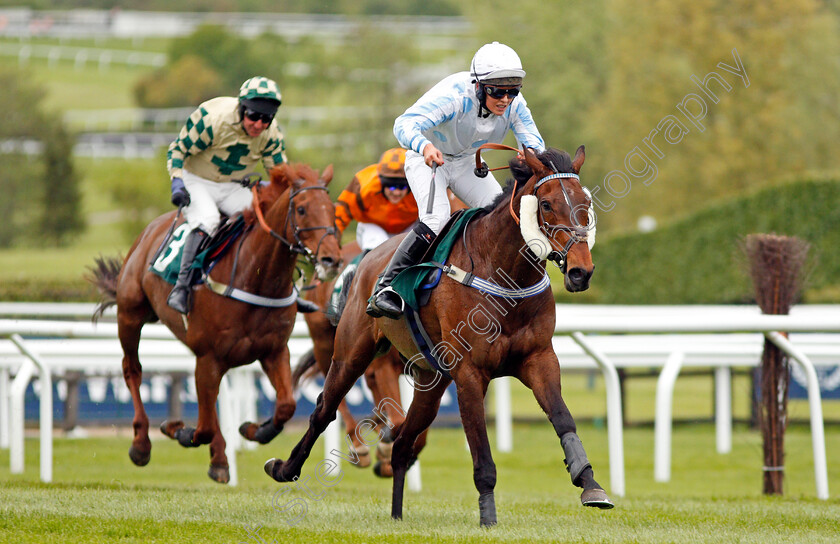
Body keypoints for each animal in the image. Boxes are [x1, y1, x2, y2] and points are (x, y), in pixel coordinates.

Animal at [88, 163, 342, 484]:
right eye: (302, 209)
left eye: (332, 209)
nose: (332, 258)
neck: (255, 276)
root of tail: (151, 228)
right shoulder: (209, 356)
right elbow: (204, 427)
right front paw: (178, 430)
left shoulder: (273, 351)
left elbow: (286, 405)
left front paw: (254, 430)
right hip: (130, 315)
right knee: (132, 369)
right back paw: (141, 444)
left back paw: (220, 460)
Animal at [266, 147, 612, 524]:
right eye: (546, 204)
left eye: (585, 202)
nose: (581, 271)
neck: (504, 274)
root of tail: (366, 262)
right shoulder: (470, 372)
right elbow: (480, 447)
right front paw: (488, 518)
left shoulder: (539, 358)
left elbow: (563, 418)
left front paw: (591, 485)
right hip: (350, 353)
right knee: (324, 410)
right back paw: (285, 468)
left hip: (430, 379)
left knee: (404, 442)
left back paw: (396, 513)